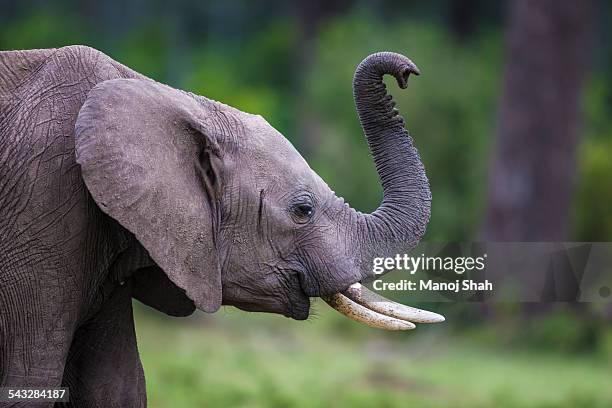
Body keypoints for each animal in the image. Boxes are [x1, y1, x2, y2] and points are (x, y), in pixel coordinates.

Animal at [0, 46, 440, 406]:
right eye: (303, 210)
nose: (406, 71)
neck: (167, 97)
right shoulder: (44, 202)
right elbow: (31, 380)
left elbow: (117, 386)